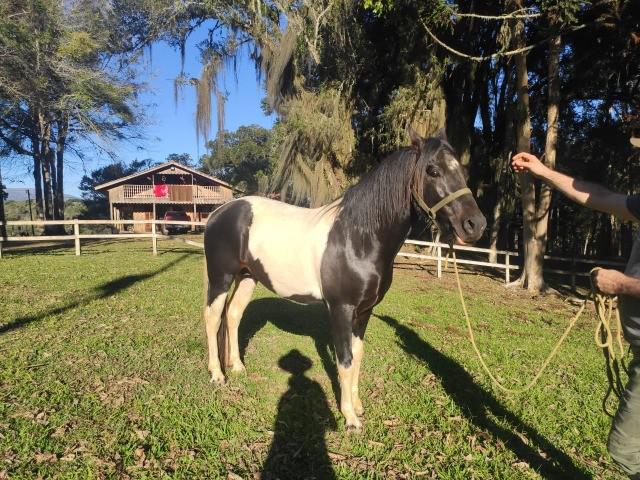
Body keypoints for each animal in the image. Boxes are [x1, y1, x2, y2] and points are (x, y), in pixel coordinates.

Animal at [202, 128, 488, 432]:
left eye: (463, 171)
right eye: (433, 170)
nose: (475, 225)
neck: (358, 238)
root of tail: (219, 212)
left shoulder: (364, 311)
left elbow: (358, 355)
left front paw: (357, 405)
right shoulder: (341, 309)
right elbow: (345, 360)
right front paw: (350, 418)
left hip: (247, 277)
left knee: (233, 315)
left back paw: (237, 367)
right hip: (221, 277)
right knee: (213, 318)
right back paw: (217, 375)